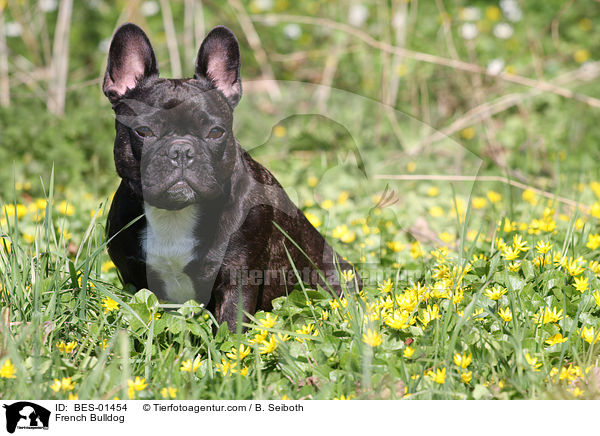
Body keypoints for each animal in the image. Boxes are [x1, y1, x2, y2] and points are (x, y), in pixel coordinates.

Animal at [102, 23, 360, 330]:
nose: (181, 150)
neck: (175, 214)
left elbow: (229, 330)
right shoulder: (132, 278)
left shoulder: (237, 280)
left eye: (216, 132)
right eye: (144, 131)